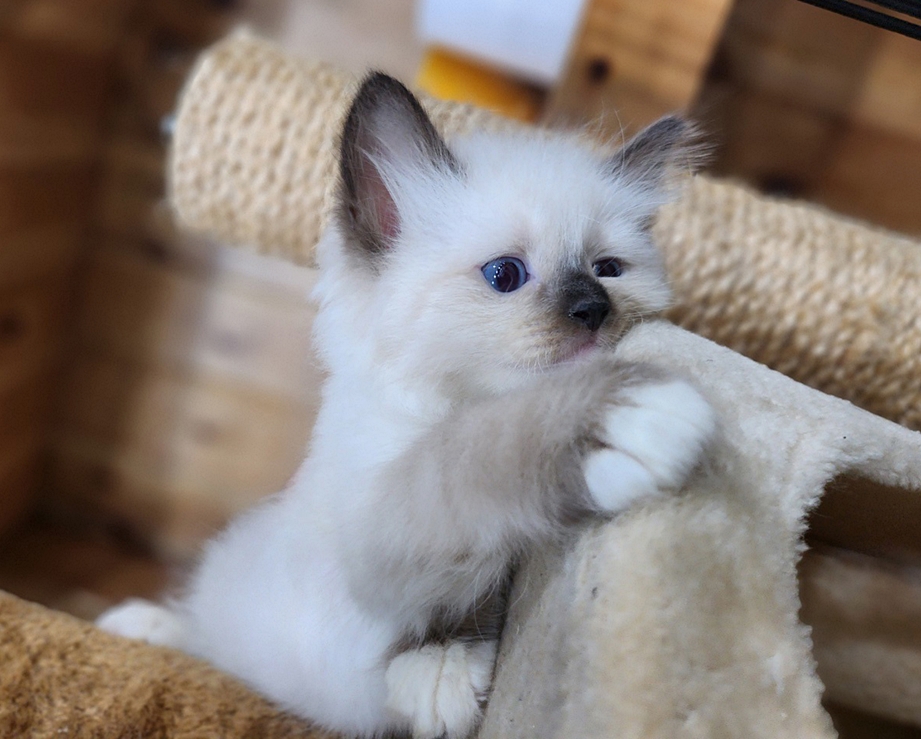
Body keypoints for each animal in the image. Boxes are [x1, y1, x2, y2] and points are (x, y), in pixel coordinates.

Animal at [97, 72, 716, 739]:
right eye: (505, 274)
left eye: (608, 270)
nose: (592, 309)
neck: (457, 402)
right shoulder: (374, 537)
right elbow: (469, 455)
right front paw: (622, 415)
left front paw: (445, 673)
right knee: (198, 635)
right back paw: (138, 624)